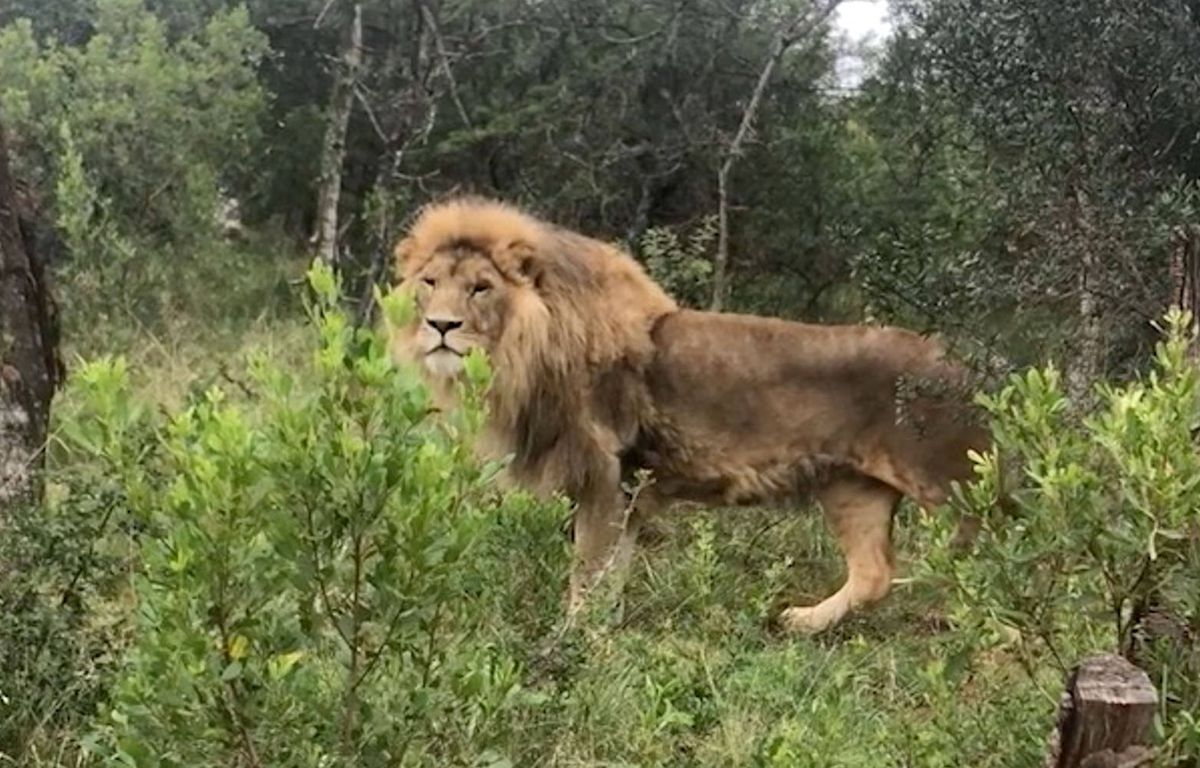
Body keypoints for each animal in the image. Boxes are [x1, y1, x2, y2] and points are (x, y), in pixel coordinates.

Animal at [388, 194, 988, 633]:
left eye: (481, 288)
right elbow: (612, 574)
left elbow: (588, 571)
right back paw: (802, 622)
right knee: (874, 573)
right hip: (853, 490)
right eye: (430, 283)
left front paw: (571, 642)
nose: (441, 326)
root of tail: (965, 366)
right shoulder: (625, 494)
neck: (524, 353)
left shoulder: (605, 478)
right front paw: (602, 634)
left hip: (957, 491)